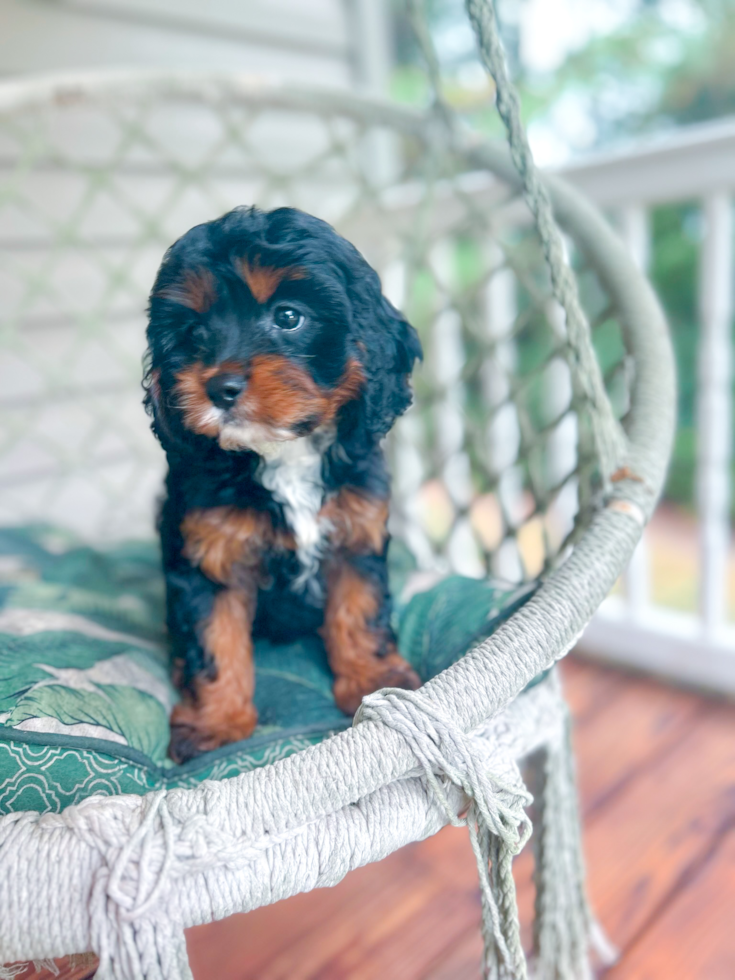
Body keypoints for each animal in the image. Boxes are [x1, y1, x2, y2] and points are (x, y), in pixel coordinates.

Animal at [144, 203, 422, 760]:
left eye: (289, 317)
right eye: (194, 332)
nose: (219, 388)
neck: (284, 452)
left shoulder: (355, 535)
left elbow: (359, 611)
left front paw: (373, 680)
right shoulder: (209, 557)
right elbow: (214, 640)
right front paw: (215, 723)